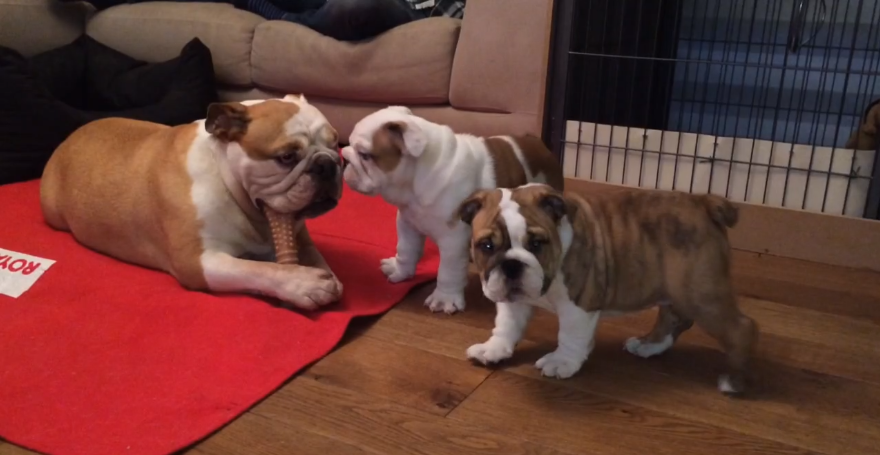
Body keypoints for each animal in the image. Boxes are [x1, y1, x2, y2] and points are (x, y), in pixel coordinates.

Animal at [340, 106, 560, 314]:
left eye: (365, 155)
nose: (344, 157)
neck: (415, 181)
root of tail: (538, 144)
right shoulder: (407, 223)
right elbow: (406, 250)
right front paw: (399, 270)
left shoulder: (453, 239)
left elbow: (448, 270)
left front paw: (444, 299)